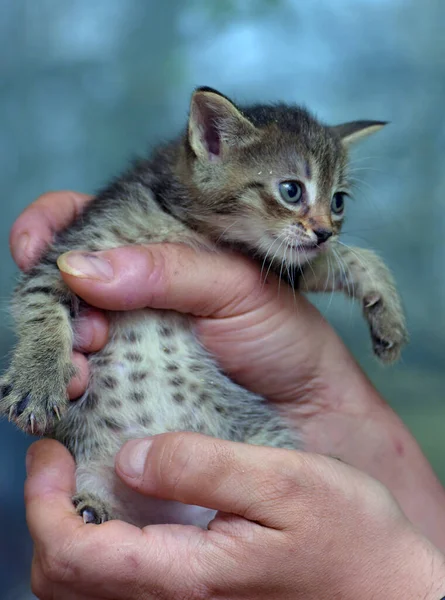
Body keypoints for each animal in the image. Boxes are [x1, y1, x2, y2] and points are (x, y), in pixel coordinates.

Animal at [0, 86, 406, 528]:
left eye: (338, 202)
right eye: (292, 190)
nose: (324, 232)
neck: (188, 224)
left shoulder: (280, 266)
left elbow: (347, 258)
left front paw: (387, 311)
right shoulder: (67, 255)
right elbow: (41, 304)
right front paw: (37, 381)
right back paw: (95, 503)